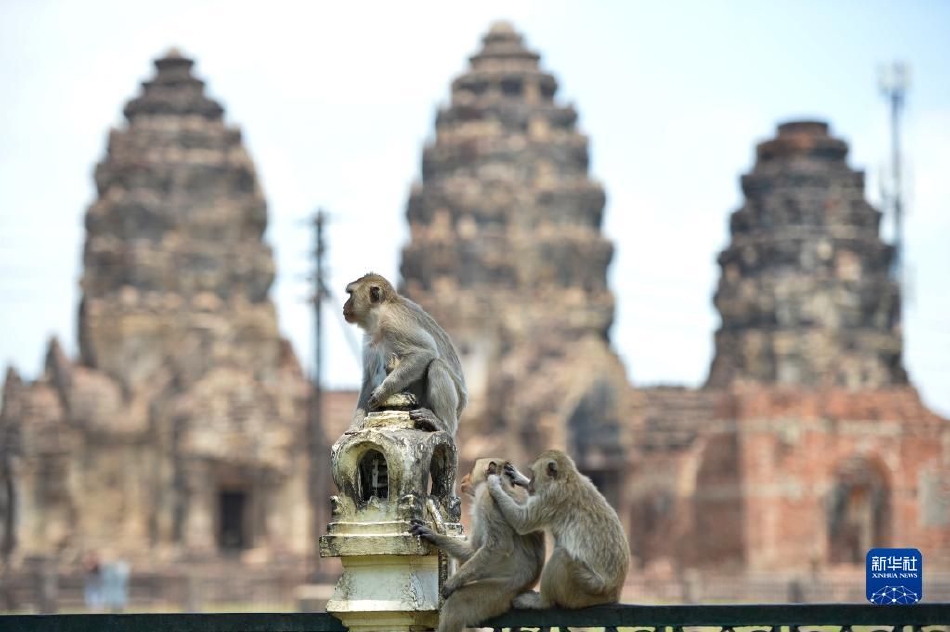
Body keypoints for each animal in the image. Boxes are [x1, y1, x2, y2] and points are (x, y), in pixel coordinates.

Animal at [346, 274, 472, 436]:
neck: (380, 316)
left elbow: (425, 351)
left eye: (350, 294)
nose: (345, 306)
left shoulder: (394, 324)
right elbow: (369, 379)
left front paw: (382, 391)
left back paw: (442, 425)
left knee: (436, 366)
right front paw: (354, 426)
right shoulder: (370, 342)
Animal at [408, 460, 544, 632]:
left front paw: (452, 583)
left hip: (502, 591)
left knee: (457, 603)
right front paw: (432, 536)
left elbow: (499, 546)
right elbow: (474, 549)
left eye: (472, 470)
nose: (464, 478)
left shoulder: (487, 499)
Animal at [490, 450, 632, 608]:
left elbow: (522, 521)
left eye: (534, 475)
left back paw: (542, 602)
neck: (567, 478)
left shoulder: (552, 497)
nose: (531, 485)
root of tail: (613, 593)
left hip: (584, 590)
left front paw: (495, 487)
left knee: (561, 556)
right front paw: (520, 478)